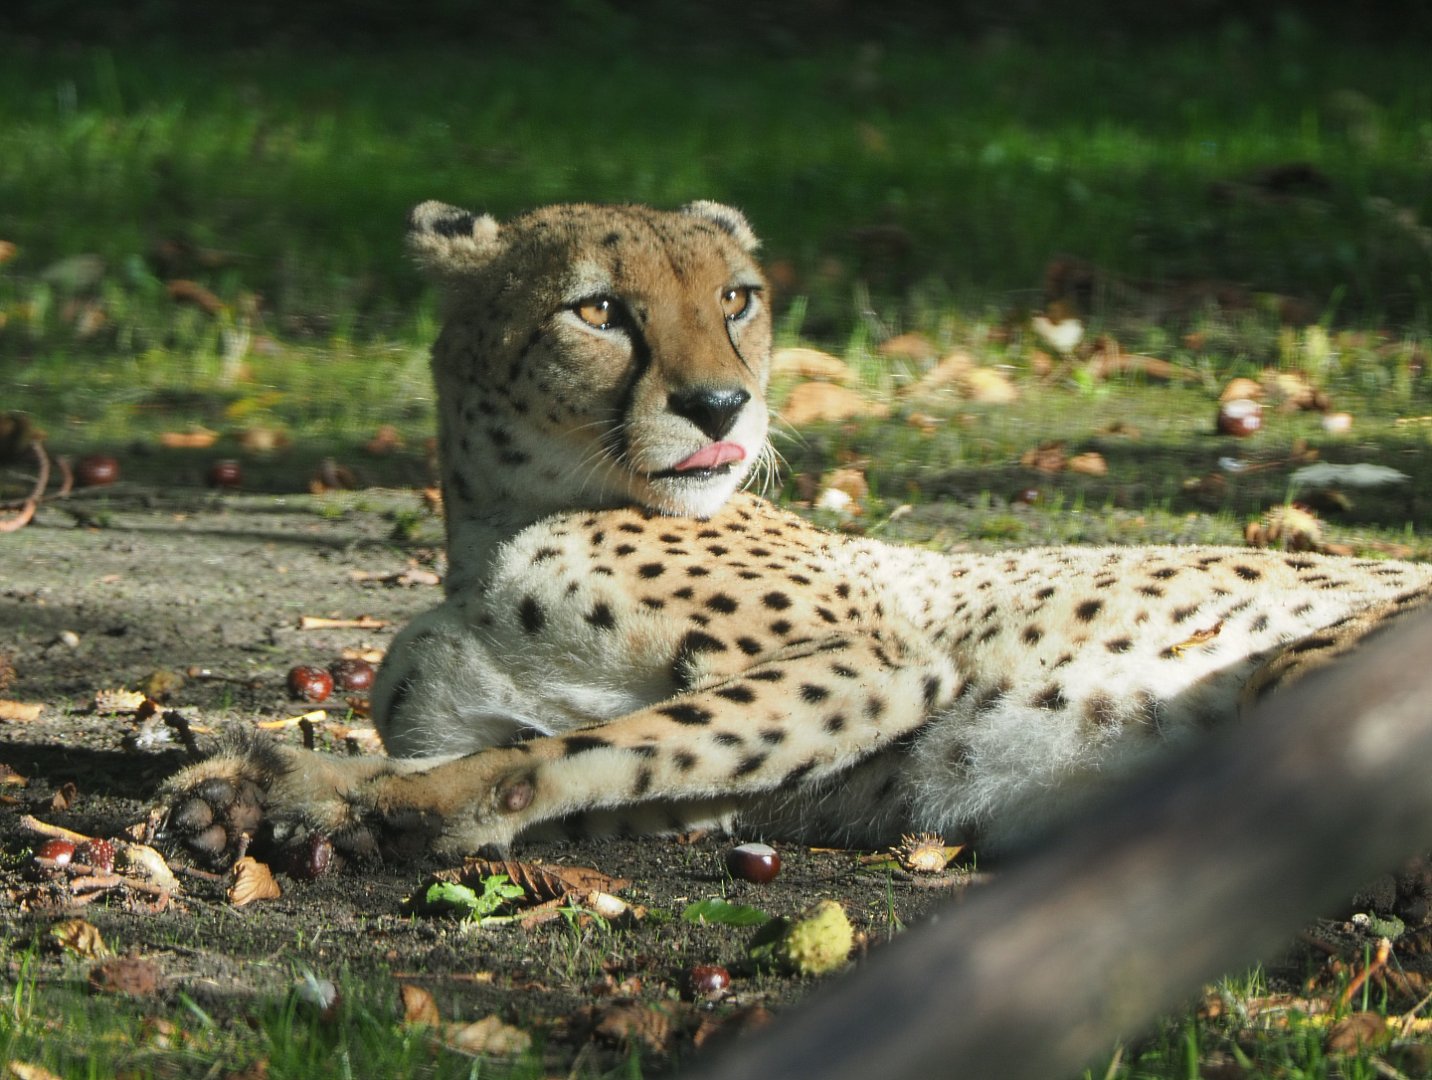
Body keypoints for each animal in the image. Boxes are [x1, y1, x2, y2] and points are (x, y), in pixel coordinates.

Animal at [159, 198, 1432, 867]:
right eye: (596, 309)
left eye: (736, 297)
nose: (721, 406)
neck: (498, 525)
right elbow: (591, 758)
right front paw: (280, 793)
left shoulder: (868, 664)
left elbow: (559, 753)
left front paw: (346, 797)